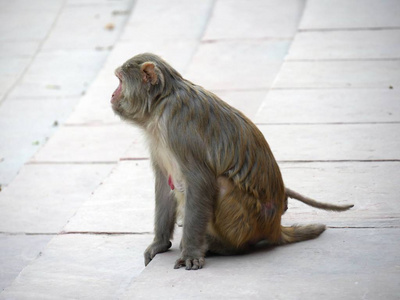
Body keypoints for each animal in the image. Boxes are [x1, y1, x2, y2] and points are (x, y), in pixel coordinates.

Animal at [109, 52, 354, 270]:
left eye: (119, 80)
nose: (111, 95)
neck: (160, 104)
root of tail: (275, 227)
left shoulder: (177, 128)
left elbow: (200, 181)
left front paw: (191, 253)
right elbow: (164, 182)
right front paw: (159, 244)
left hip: (249, 222)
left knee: (220, 185)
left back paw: (226, 247)